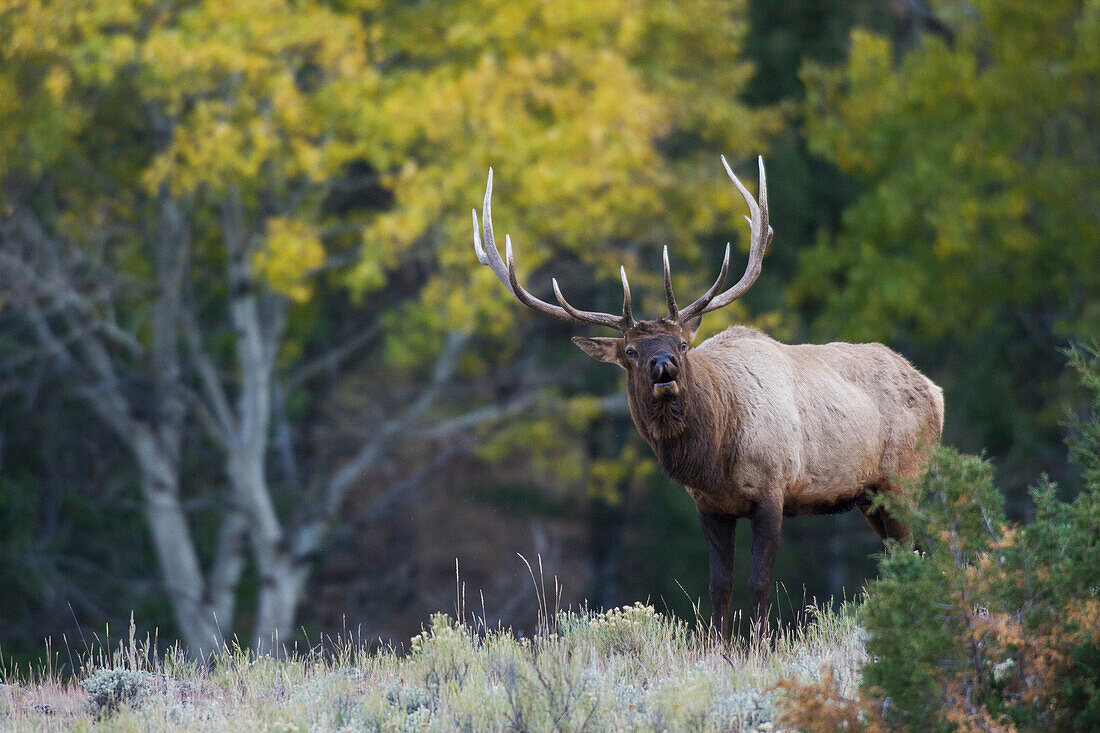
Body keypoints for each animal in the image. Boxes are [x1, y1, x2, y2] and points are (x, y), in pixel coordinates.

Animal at [468, 155, 941, 633]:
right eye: (631, 351)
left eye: (681, 343)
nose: (664, 366)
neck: (714, 456)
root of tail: (935, 389)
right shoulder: (710, 506)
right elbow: (719, 586)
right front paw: (718, 644)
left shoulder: (773, 487)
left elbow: (759, 584)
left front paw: (758, 643)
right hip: (871, 496)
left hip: (905, 477)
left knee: (917, 550)